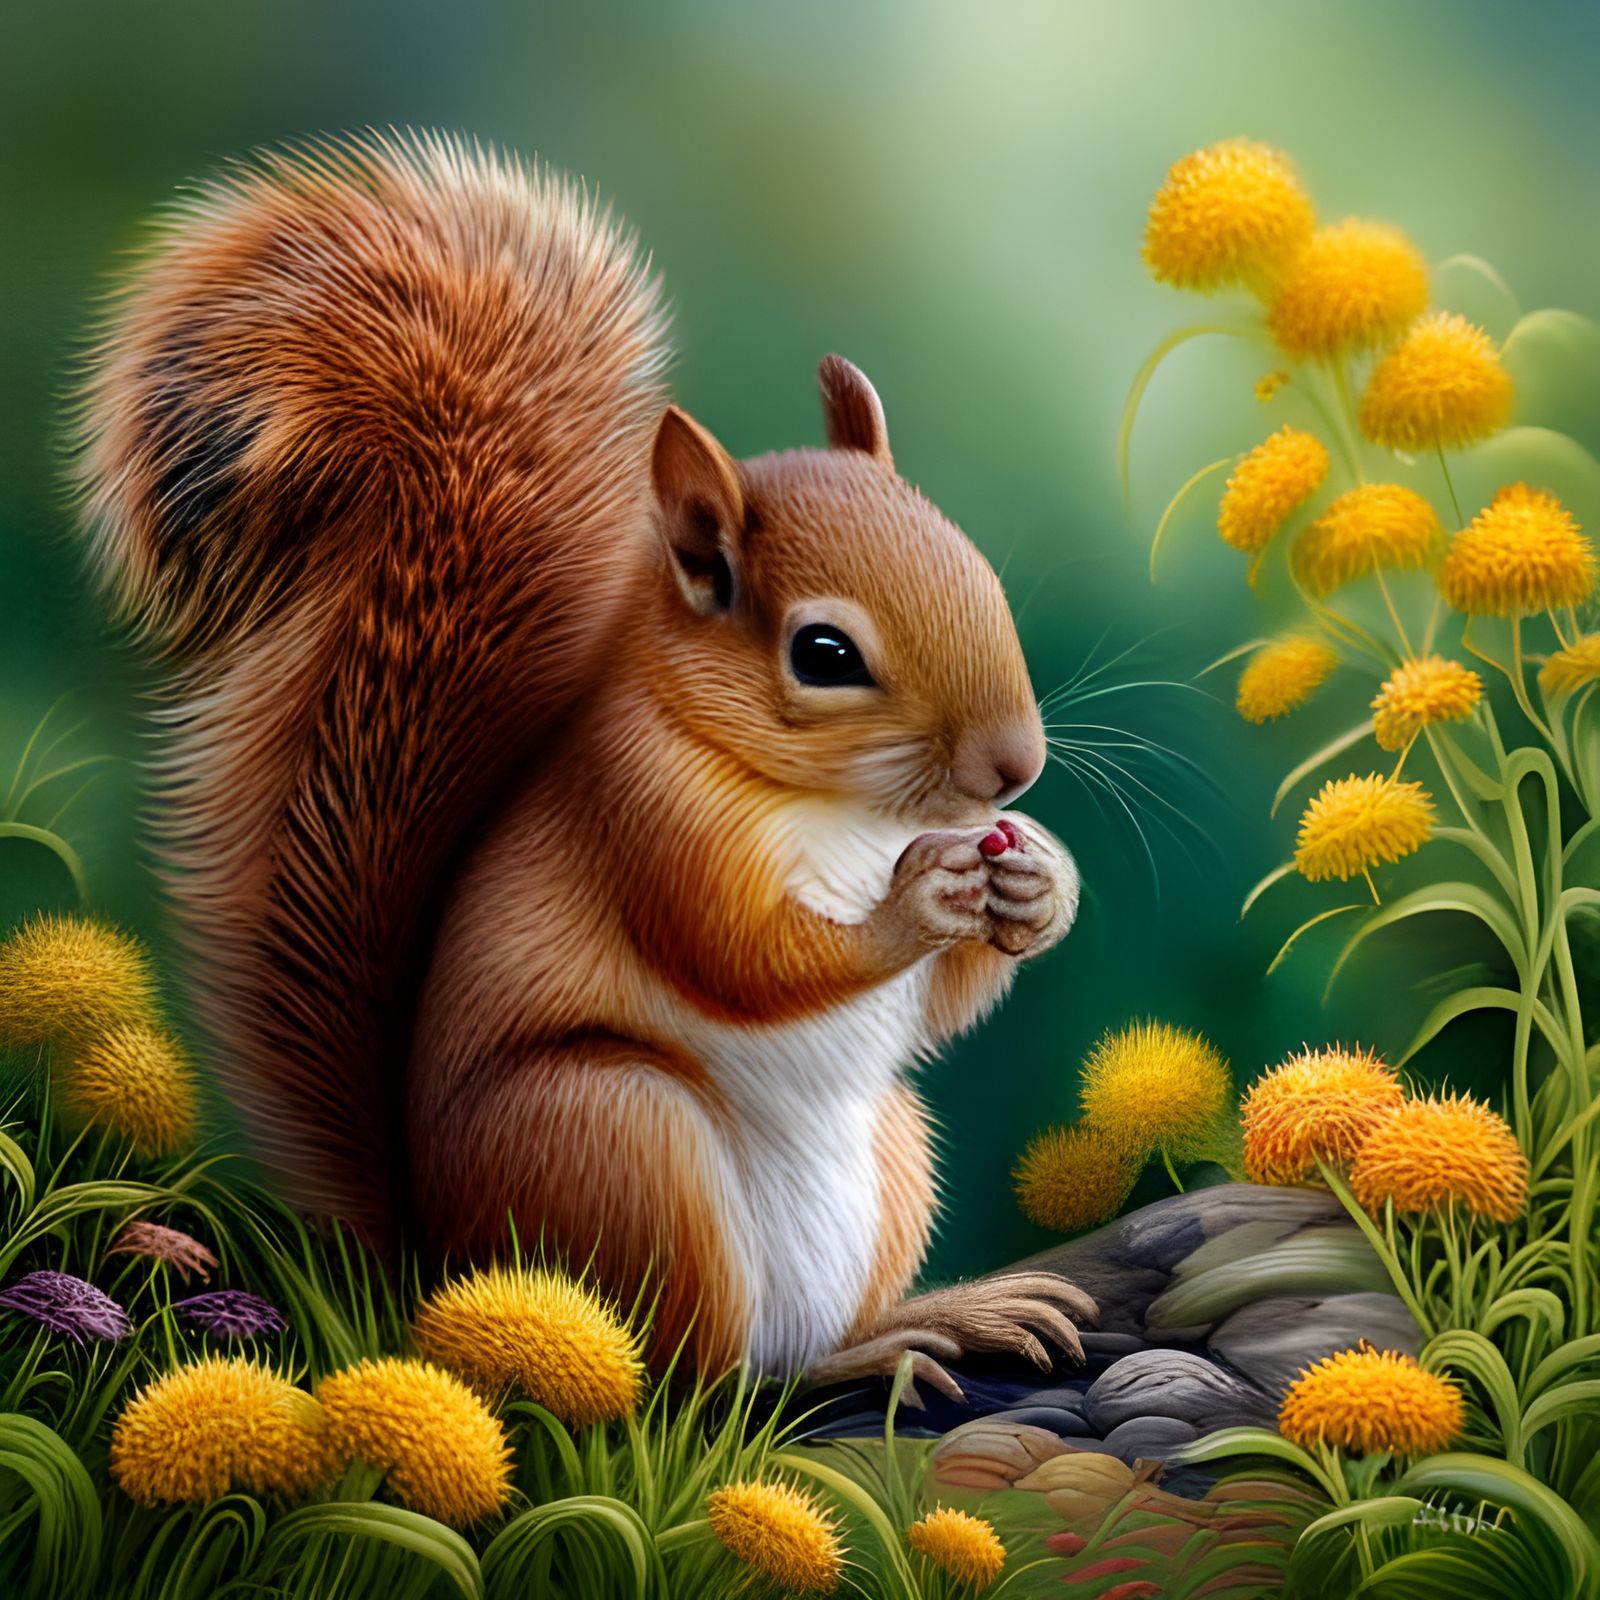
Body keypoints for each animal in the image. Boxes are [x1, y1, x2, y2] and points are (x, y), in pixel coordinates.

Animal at [74, 132, 1093, 1393]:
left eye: (977, 567)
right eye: (824, 653)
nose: (1013, 768)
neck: (851, 812)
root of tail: (440, 1259)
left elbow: (942, 1001)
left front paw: (1039, 881)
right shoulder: (643, 821)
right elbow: (744, 957)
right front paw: (915, 903)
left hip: (889, 1149)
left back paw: (929, 1318)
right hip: (616, 1137)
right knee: (697, 1381)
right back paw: (841, 1360)